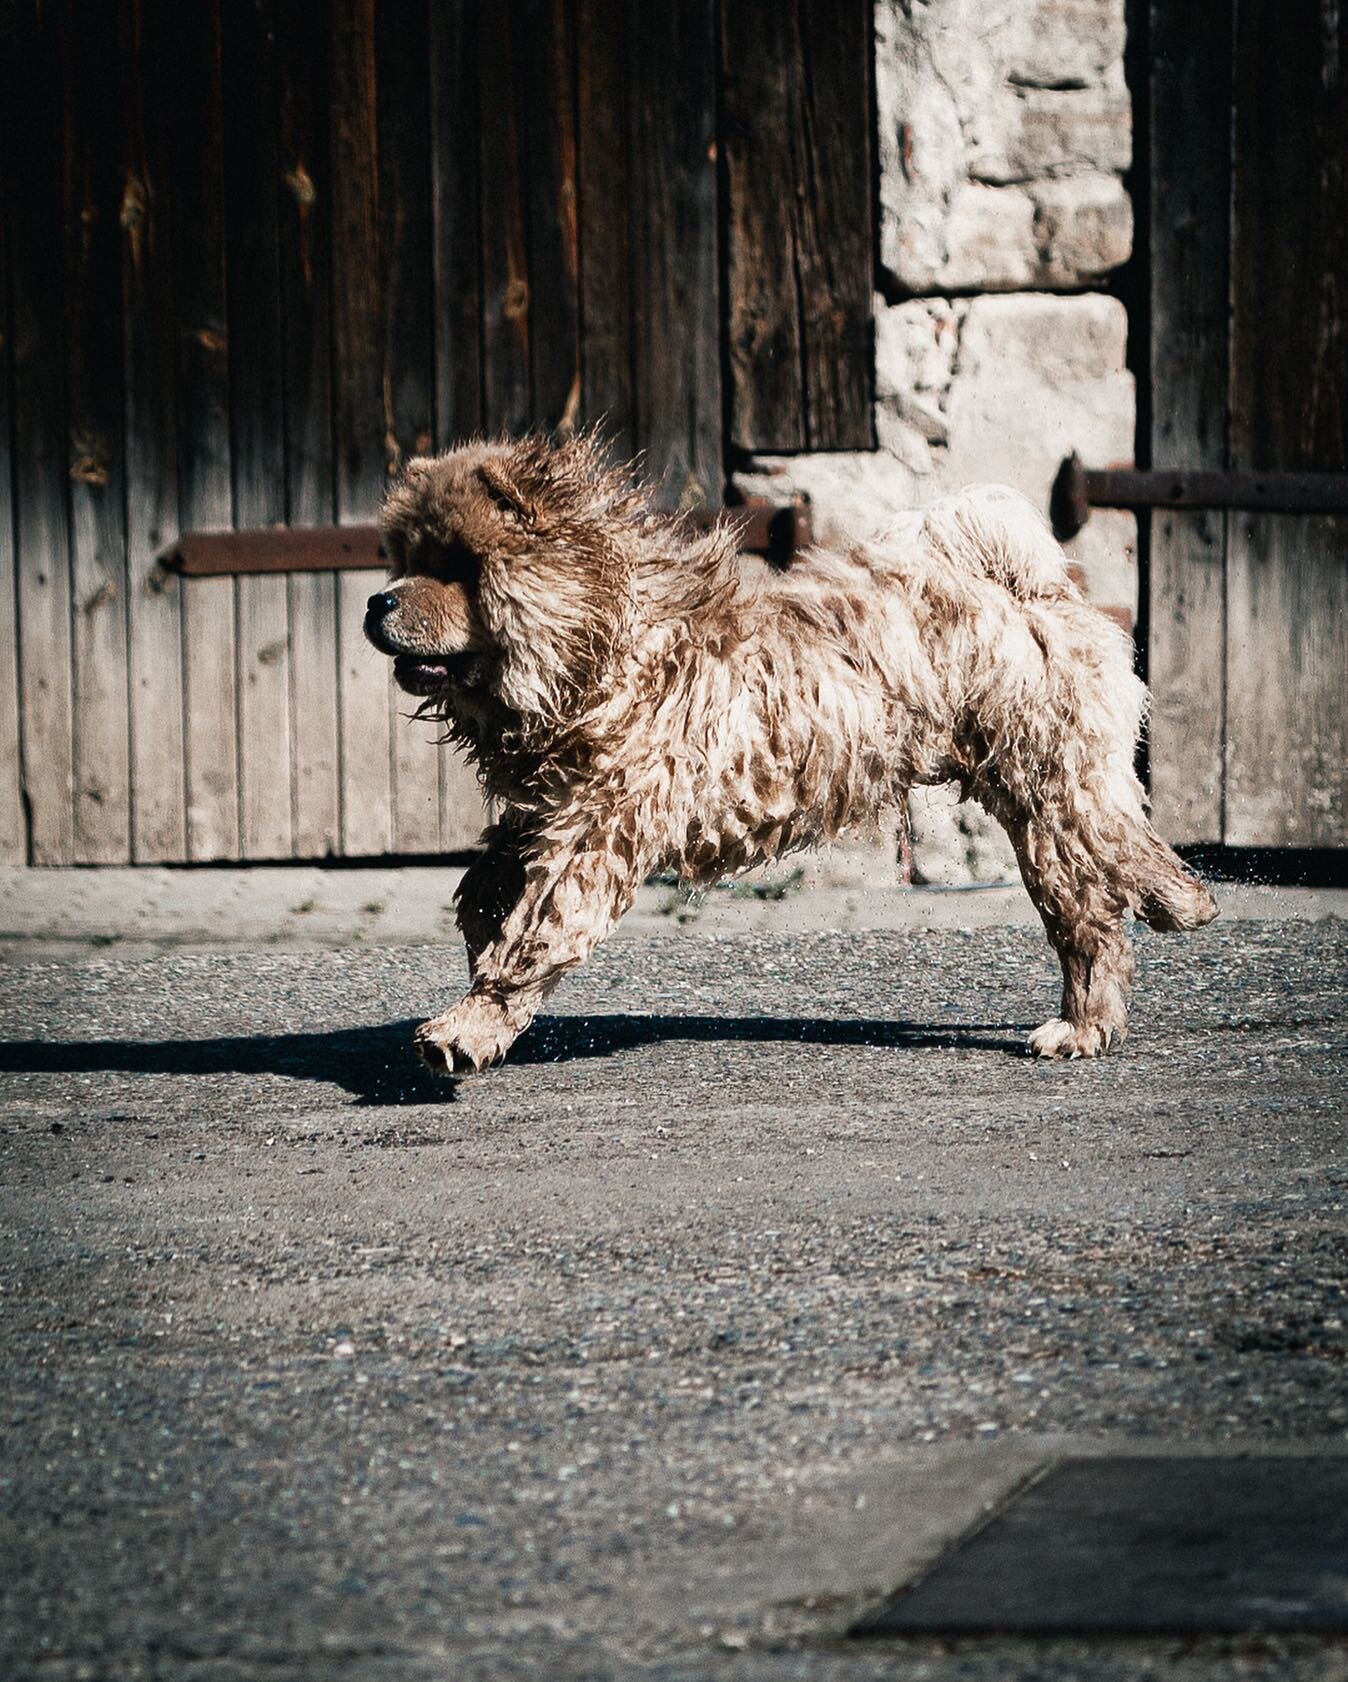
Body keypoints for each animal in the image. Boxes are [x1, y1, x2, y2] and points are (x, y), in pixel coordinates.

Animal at [363, 430, 1211, 1063]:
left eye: (455, 564)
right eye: (403, 557)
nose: (376, 600)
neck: (604, 648)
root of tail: (1028, 587)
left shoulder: (603, 824)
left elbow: (538, 928)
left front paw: (465, 1027)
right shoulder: (556, 807)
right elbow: (492, 876)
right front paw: (478, 935)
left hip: (1047, 789)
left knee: (1091, 909)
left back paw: (1090, 1014)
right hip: (1047, 789)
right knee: (1121, 850)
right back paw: (1180, 902)